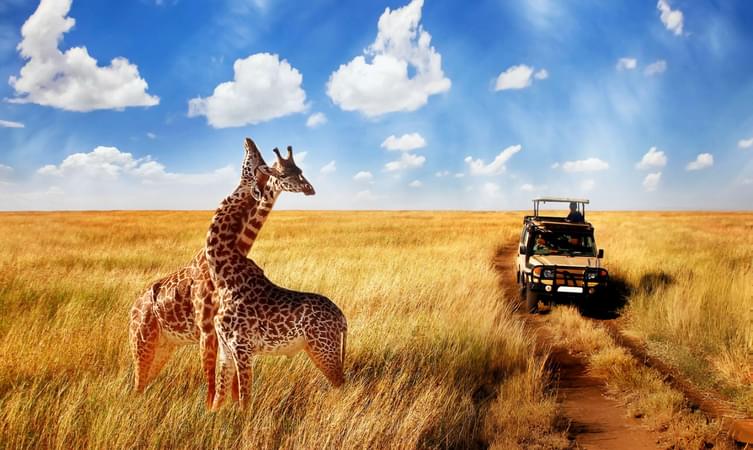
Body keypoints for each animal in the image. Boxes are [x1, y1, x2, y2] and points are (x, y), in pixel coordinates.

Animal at [128, 137, 312, 408]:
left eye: (298, 170)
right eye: (281, 171)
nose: (310, 189)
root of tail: (133, 308)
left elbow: (228, 381)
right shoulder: (208, 330)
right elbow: (213, 381)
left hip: (163, 346)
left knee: (143, 383)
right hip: (142, 342)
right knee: (138, 384)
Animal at [204, 142, 348, 410]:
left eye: (255, 163)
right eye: (283, 172)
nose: (248, 142)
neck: (223, 277)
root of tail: (343, 319)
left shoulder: (243, 348)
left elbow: (245, 399)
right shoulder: (226, 349)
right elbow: (219, 397)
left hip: (324, 349)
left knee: (342, 384)